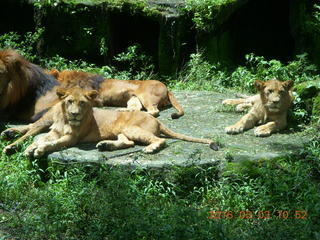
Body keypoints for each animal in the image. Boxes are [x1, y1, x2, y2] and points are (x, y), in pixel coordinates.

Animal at [23, 86, 218, 158]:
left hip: (132, 128)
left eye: (82, 103)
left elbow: (52, 144)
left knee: (159, 140)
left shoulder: (72, 138)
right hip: (123, 132)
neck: (65, 119)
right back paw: (105, 146)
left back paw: (150, 148)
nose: (75, 114)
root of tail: (157, 121)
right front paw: (29, 148)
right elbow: (42, 138)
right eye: (70, 101)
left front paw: (39, 150)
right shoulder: (54, 132)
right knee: (129, 143)